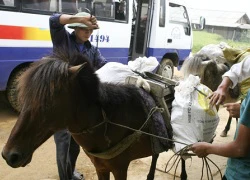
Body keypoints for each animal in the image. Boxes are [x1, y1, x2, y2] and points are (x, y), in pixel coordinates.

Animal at [1, 51, 173, 179]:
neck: (108, 120)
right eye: (24, 98)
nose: (9, 155)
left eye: (48, 101)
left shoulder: (120, 168)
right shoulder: (101, 167)